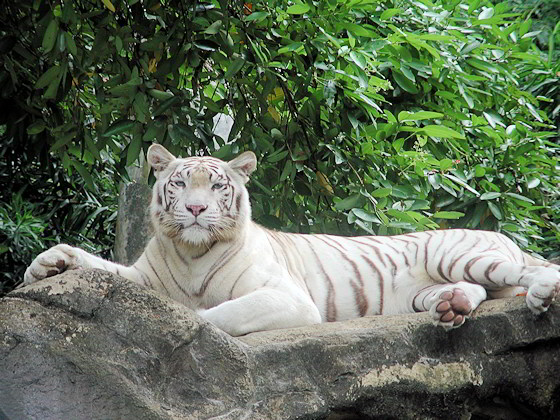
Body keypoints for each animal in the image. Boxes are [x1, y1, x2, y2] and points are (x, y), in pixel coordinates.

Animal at [24, 144, 560, 334]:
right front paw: (46, 264)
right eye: (178, 183)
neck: (192, 253)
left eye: (215, 186)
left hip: (460, 254)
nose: (195, 209)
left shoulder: (287, 297)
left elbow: (222, 313)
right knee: (479, 291)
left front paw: (187, 324)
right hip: (428, 290)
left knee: (528, 273)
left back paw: (540, 293)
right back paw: (452, 308)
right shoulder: (142, 276)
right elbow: (100, 265)